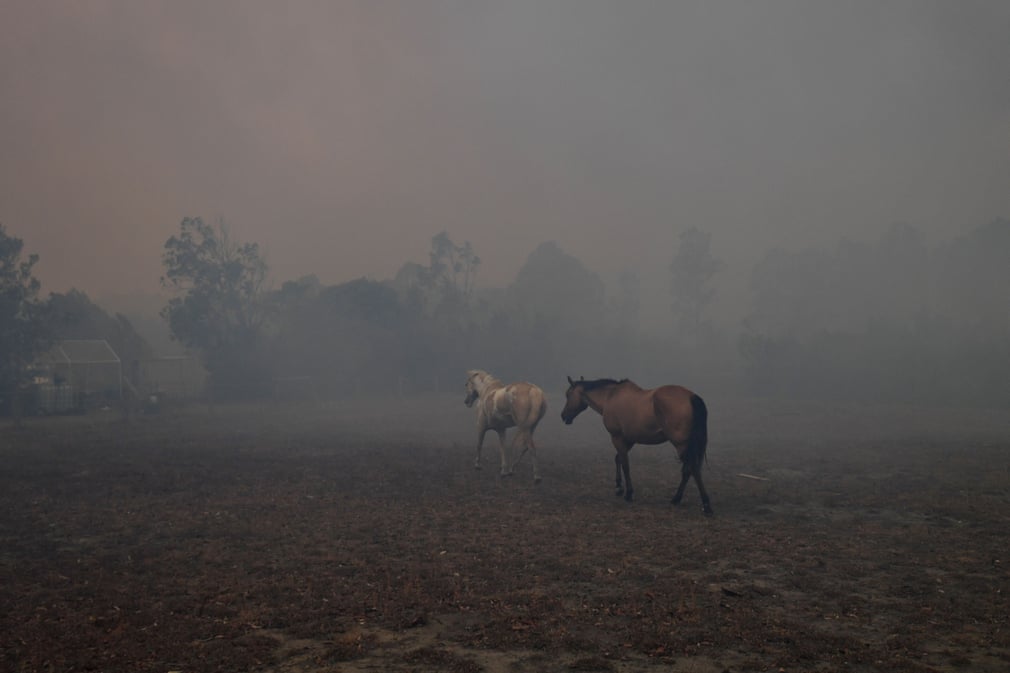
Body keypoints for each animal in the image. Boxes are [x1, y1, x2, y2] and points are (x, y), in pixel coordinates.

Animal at [561, 371, 711, 513]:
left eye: (568, 395)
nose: (563, 416)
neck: (610, 397)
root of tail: (691, 396)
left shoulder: (617, 437)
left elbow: (625, 465)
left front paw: (628, 493)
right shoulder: (629, 439)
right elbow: (618, 459)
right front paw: (619, 487)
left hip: (681, 445)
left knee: (692, 469)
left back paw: (705, 504)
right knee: (688, 470)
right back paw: (677, 499)